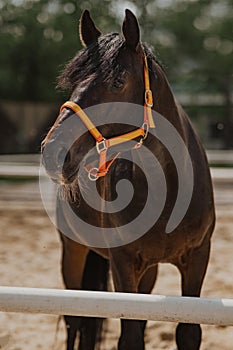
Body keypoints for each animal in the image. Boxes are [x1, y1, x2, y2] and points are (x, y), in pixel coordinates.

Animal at [41, 8, 215, 350]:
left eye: (118, 81)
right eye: (73, 82)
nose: (53, 152)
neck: (169, 188)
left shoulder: (197, 258)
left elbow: (187, 333)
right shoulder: (122, 263)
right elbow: (130, 335)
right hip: (73, 251)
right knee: (74, 320)